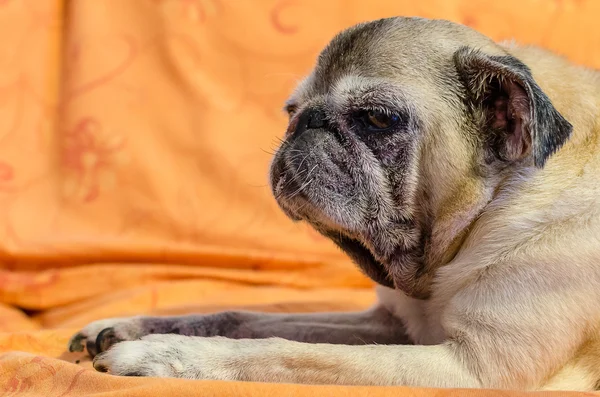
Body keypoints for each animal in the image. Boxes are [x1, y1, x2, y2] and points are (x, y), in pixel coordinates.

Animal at [67, 17, 600, 390]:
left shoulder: (472, 367)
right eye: (290, 109)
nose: (306, 121)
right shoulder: (389, 323)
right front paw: (135, 326)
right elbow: (249, 319)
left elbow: (285, 353)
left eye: (379, 119)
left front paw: (163, 354)